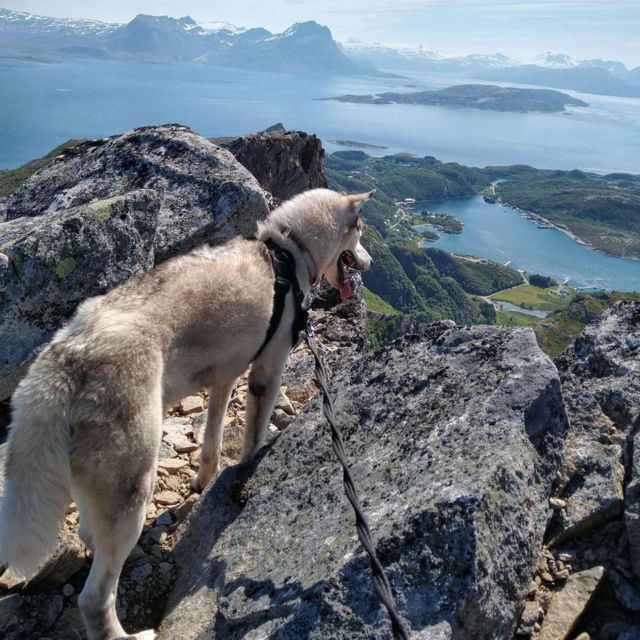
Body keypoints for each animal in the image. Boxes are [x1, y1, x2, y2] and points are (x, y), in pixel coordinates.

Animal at [0, 189, 376, 640]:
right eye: (360, 232)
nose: (370, 262)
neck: (287, 249)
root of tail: (69, 356)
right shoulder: (267, 370)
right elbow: (254, 435)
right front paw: (248, 465)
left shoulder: (224, 378)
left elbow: (212, 437)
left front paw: (205, 478)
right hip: (132, 484)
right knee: (95, 598)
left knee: (92, 532)